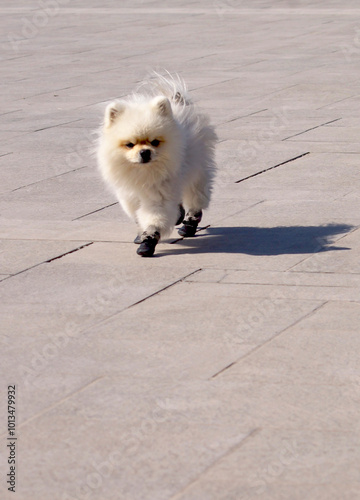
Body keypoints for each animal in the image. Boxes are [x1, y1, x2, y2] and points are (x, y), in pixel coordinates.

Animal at [97, 73, 217, 258]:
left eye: (155, 142)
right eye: (130, 145)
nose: (145, 152)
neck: (144, 172)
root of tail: (179, 103)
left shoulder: (159, 193)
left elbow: (154, 217)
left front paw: (149, 240)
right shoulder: (129, 195)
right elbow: (137, 214)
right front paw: (141, 234)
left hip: (196, 171)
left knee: (196, 197)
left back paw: (189, 224)